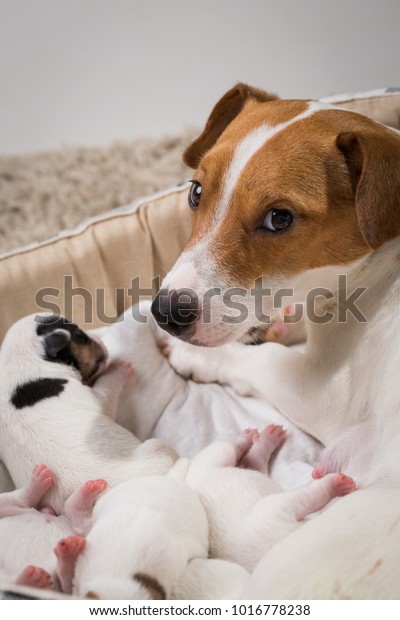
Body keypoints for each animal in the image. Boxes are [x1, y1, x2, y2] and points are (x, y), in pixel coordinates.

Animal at [0, 314, 177, 512]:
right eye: (81, 337)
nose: (99, 339)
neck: (20, 364)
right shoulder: (100, 399)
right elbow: (107, 388)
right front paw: (119, 368)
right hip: (157, 448)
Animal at [151, 83, 400, 490]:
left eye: (279, 218)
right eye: (197, 192)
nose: (165, 312)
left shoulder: (324, 395)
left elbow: (262, 359)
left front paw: (197, 356)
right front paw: (281, 324)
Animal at [175, 426, 356, 572]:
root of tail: (189, 477)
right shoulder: (279, 509)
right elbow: (312, 494)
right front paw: (339, 484)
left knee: (253, 462)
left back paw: (267, 436)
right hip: (215, 455)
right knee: (232, 448)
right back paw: (248, 437)